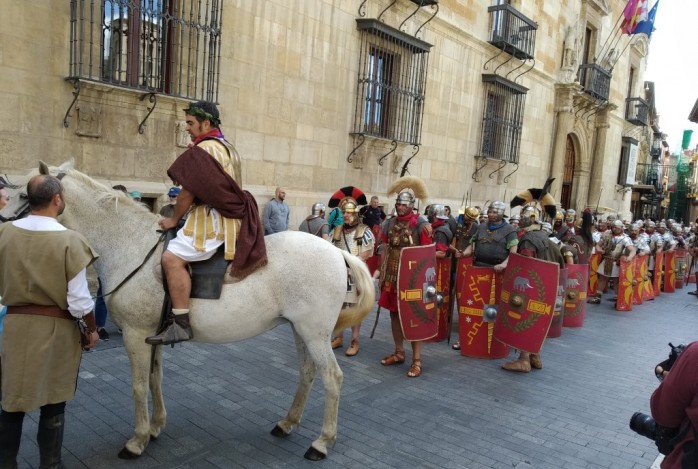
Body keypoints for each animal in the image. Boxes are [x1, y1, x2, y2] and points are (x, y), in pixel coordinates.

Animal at [38, 163, 376, 458]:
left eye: (27, 192)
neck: (131, 245)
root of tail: (336, 252)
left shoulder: (135, 335)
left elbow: (138, 386)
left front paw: (137, 440)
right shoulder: (151, 336)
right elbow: (155, 379)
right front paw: (155, 427)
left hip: (314, 334)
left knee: (332, 377)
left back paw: (322, 442)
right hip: (301, 330)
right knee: (308, 372)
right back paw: (287, 423)